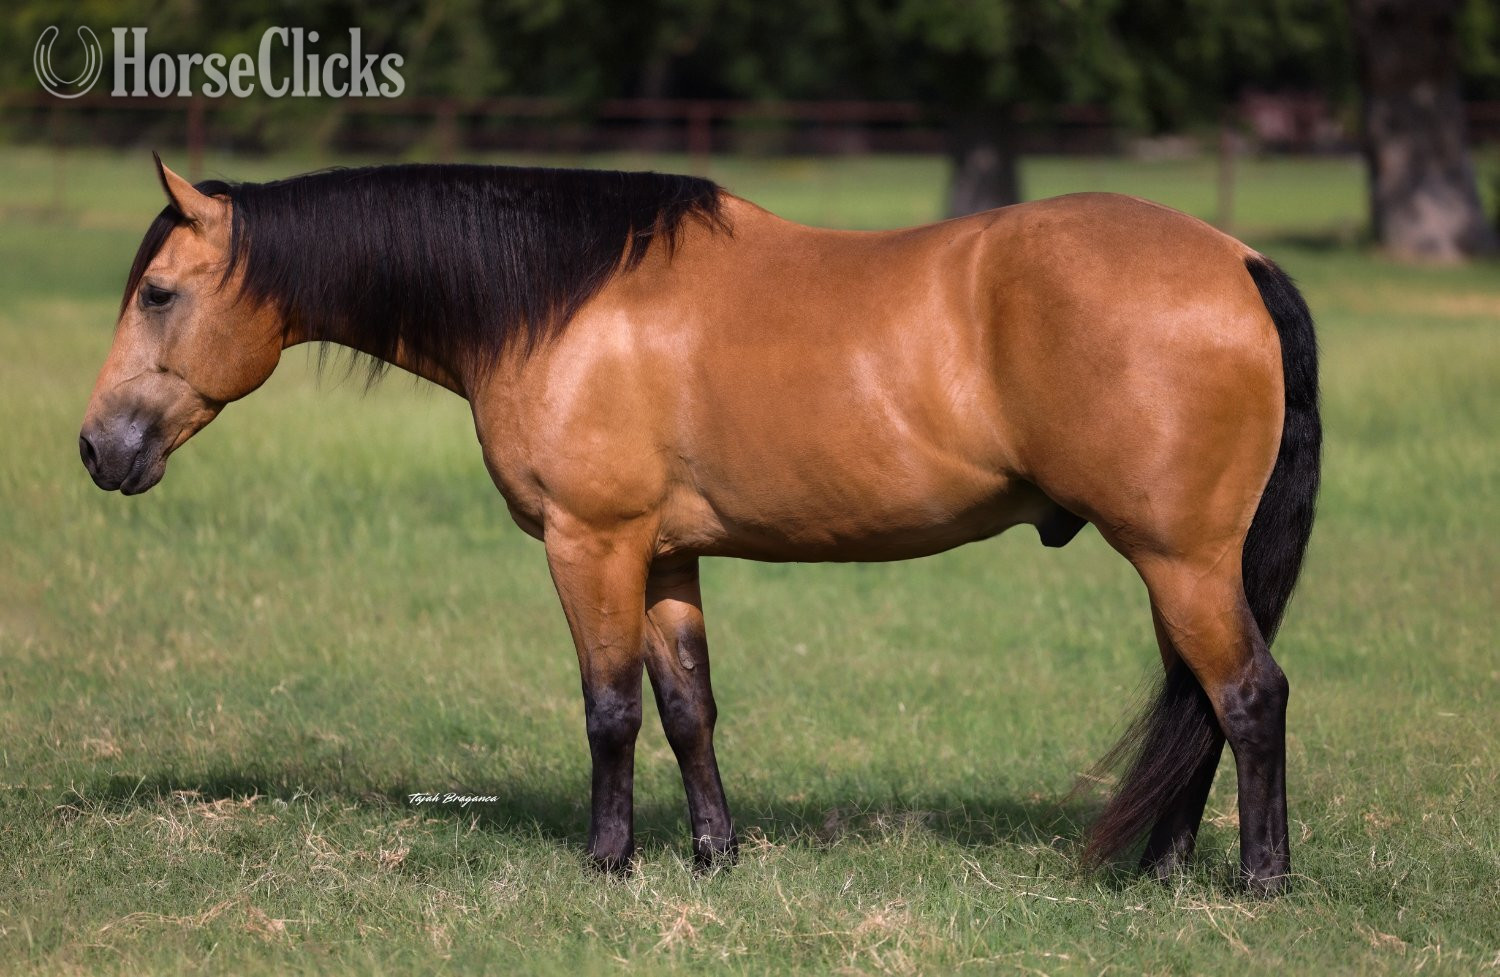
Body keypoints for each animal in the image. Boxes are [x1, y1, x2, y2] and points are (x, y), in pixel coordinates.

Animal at [80, 156, 1319, 893]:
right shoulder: (668, 552)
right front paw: (714, 854)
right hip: (1179, 563)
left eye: (158, 293)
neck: (561, 301)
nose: (98, 447)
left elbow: (611, 709)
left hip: (1181, 558)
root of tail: (1239, 259)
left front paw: (608, 859)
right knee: (1201, 701)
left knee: (1248, 694)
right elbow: (688, 707)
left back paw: (1259, 879)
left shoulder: (593, 541)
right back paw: (1163, 868)